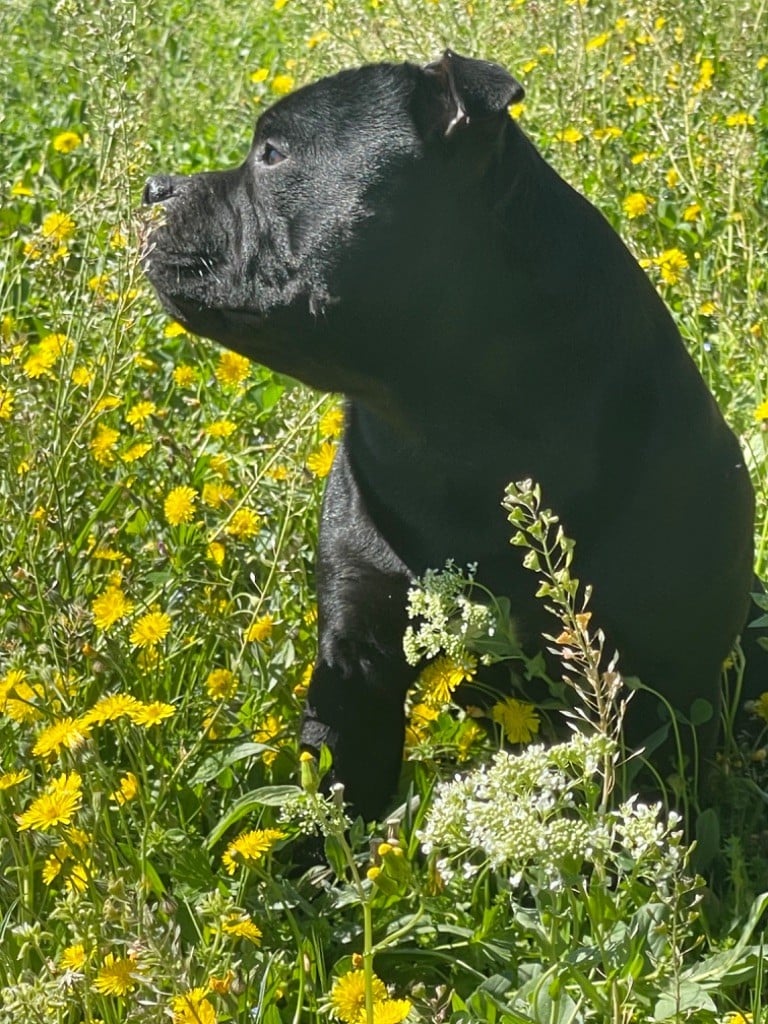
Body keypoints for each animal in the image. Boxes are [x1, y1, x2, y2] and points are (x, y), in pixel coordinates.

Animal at [144, 51, 757, 819]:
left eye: (273, 153)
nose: (152, 187)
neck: (442, 425)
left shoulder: (658, 674)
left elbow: (641, 793)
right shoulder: (355, 657)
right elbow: (337, 777)